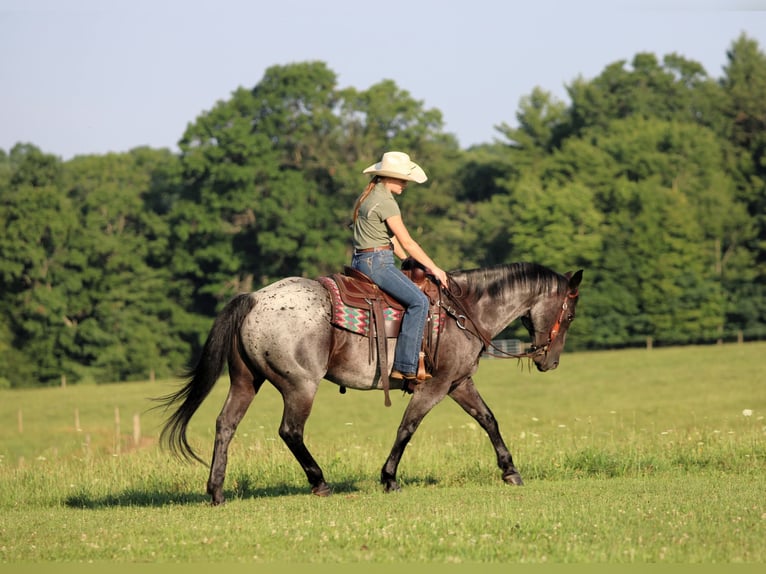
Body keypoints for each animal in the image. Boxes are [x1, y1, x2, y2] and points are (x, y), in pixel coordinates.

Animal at [156, 262, 583, 505]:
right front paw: (389, 478)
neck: (465, 310)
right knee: (290, 431)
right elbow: (408, 426)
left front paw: (510, 470)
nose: (550, 361)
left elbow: (489, 420)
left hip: (246, 381)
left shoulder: (459, 382)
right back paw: (320, 483)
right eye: (571, 315)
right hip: (300, 386)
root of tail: (255, 298)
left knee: (225, 425)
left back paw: (216, 491)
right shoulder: (438, 384)